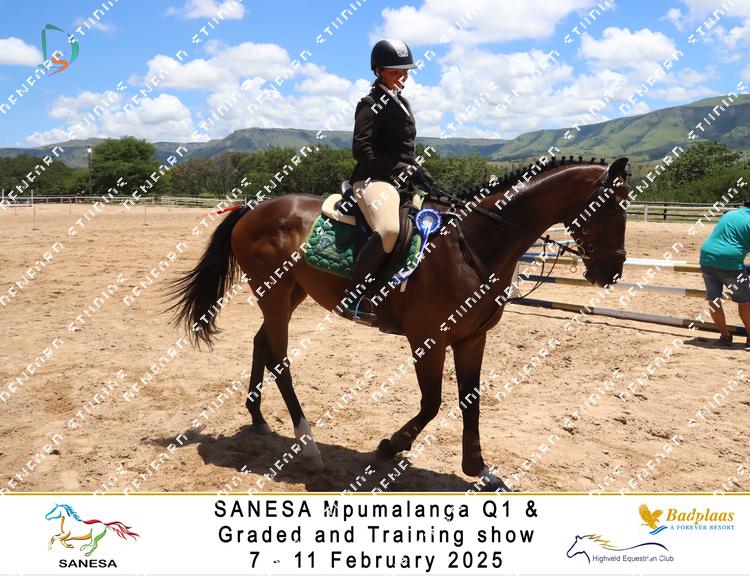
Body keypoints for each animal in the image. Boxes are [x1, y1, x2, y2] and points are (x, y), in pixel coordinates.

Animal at [169, 156, 630, 490]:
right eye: (610, 207)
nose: (610, 273)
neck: (475, 243)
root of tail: (254, 207)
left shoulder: (471, 339)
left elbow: (471, 401)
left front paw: (480, 469)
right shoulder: (428, 339)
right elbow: (433, 403)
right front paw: (389, 447)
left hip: (289, 295)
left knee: (260, 343)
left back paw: (259, 419)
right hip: (275, 294)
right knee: (280, 360)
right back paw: (309, 447)